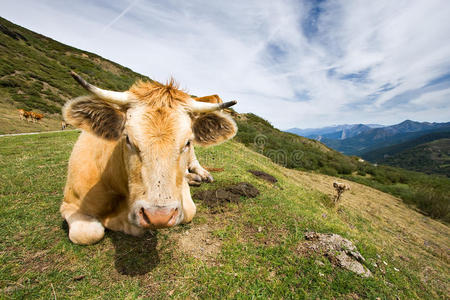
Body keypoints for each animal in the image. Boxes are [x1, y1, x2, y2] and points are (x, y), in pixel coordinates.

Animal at [61, 71, 237, 245]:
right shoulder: (69, 203)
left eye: (188, 142)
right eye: (127, 138)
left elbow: (188, 211)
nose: (159, 216)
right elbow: (88, 233)